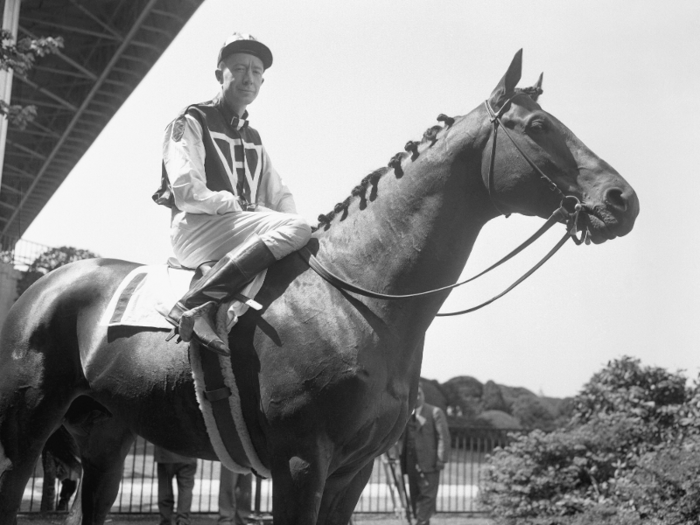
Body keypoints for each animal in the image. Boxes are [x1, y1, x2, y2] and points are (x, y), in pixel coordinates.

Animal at [0, 50, 636, 524]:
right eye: (539, 126)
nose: (622, 198)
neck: (358, 298)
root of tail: (42, 286)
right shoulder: (301, 463)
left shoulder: (354, 470)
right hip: (25, 431)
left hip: (104, 436)